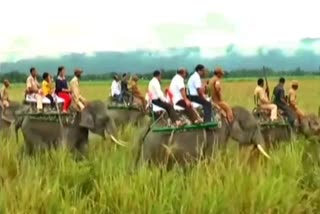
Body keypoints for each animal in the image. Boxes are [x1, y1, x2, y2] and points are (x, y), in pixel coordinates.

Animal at [135, 106, 270, 168]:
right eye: (255, 127)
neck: (227, 112)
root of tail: (150, 125)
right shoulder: (216, 136)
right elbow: (213, 160)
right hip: (152, 147)